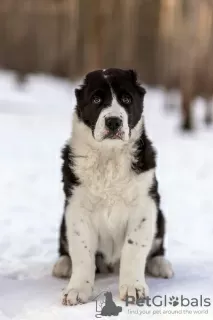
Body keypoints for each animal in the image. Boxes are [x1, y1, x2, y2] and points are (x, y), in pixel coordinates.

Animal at [52, 68, 174, 304]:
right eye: (96, 99)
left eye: (126, 99)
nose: (113, 122)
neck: (109, 157)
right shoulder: (77, 209)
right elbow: (82, 251)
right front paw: (77, 289)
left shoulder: (144, 207)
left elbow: (134, 248)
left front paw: (133, 287)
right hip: (63, 219)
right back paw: (63, 264)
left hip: (160, 215)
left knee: (156, 248)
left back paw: (160, 265)